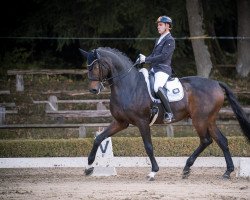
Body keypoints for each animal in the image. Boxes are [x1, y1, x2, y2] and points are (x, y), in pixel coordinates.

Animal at [79, 47, 249, 181]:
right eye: (87, 67)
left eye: (95, 67)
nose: (93, 90)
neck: (128, 86)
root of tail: (216, 83)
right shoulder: (121, 122)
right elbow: (99, 138)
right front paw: (88, 167)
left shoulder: (142, 122)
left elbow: (148, 146)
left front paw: (153, 172)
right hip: (209, 120)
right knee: (222, 141)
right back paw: (226, 172)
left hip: (199, 120)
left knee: (206, 140)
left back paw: (188, 168)